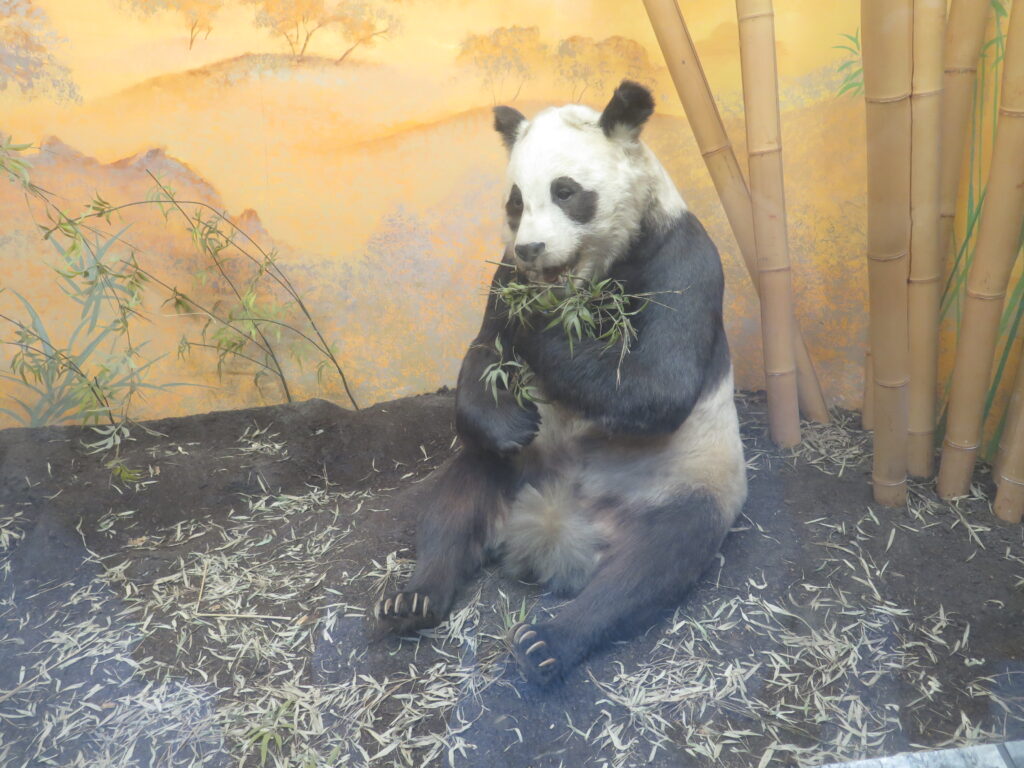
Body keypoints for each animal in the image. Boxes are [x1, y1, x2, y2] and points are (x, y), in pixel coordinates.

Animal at [374, 81, 745, 688]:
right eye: (515, 202)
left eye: (566, 191)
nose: (532, 249)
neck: (582, 281)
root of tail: (558, 524)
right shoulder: (503, 272)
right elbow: (483, 354)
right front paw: (513, 413)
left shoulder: (679, 262)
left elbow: (657, 385)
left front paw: (538, 322)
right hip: (518, 467)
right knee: (458, 498)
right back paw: (414, 599)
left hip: (685, 480)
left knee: (653, 563)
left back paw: (546, 642)